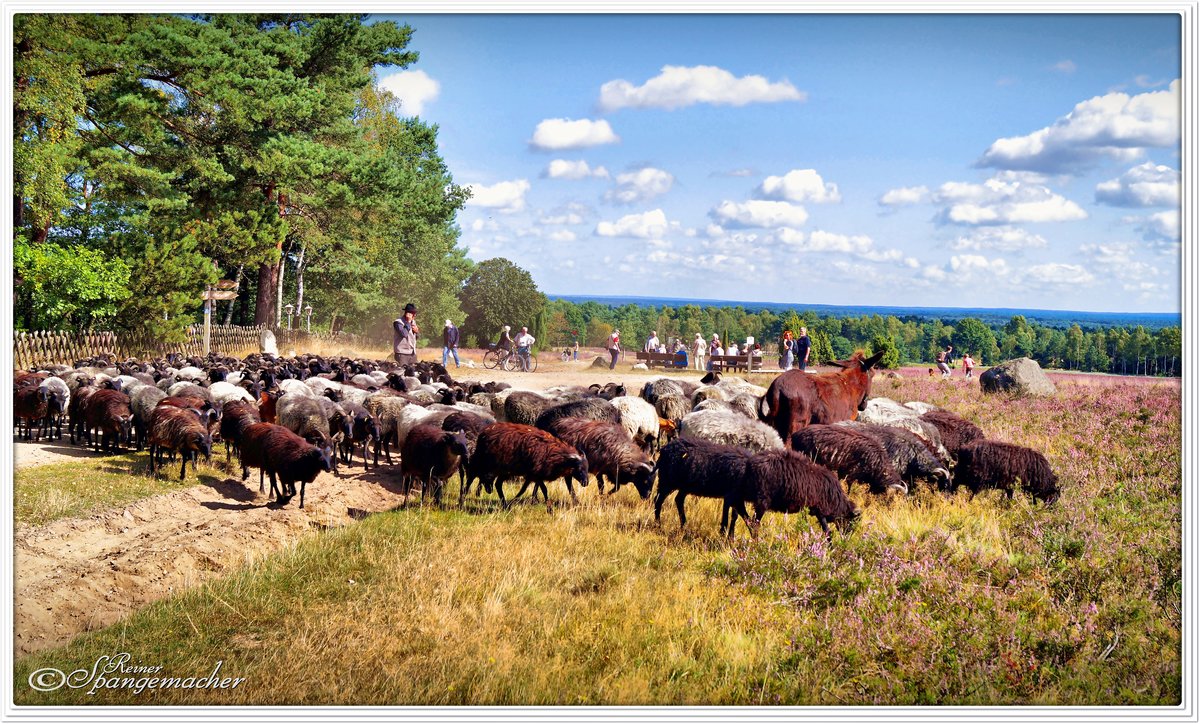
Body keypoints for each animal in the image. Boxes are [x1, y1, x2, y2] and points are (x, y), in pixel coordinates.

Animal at [724, 446, 859, 537]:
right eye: (851, 522)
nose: (845, 539)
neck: (838, 502)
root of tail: (748, 465)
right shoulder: (820, 510)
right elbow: (827, 532)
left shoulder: (809, 508)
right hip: (761, 498)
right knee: (752, 520)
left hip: (744, 491)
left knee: (735, 506)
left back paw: (729, 535)